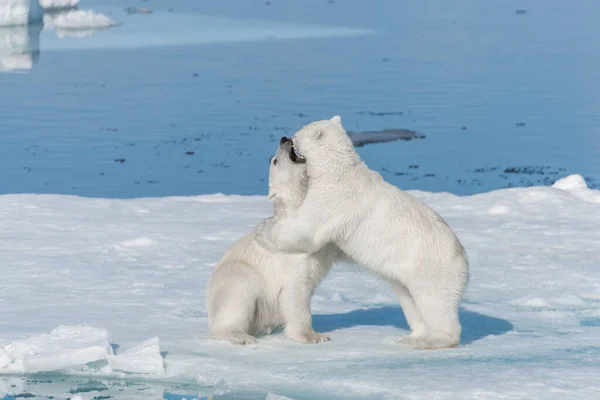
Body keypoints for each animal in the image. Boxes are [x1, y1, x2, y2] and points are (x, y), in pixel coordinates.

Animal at [205, 137, 342, 344]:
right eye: (275, 161)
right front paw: (313, 336)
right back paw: (241, 336)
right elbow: (294, 293)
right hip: (235, 278)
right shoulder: (290, 258)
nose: (284, 139)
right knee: (240, 290)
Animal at [255, 116, 472, 350]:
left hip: (431, 268)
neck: (339, 172)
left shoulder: (334, 199)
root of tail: (463, 259)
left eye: (296, 135)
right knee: (410, 301)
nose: (285, 138)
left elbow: (308, 228)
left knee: (434, 303)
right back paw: (412, 337)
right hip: (408, 277)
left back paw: (433, 340)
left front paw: (262, 231)